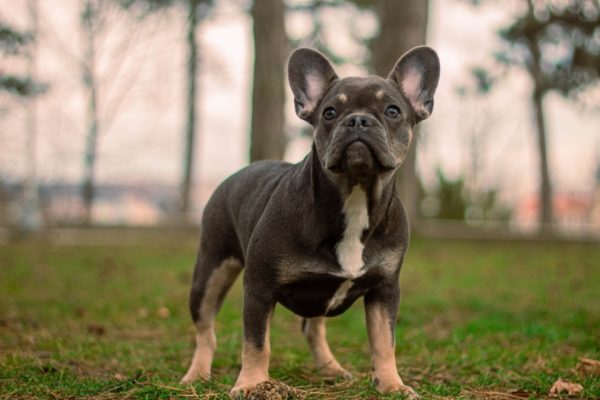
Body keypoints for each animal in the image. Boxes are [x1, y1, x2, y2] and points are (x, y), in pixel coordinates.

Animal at [180, 45, 438, 398]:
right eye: (329, 113)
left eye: (392, 111)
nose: (358, 120)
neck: (355, 195)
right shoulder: (259, 287)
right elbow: (256, 341)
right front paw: (253, 383)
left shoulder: (384, 289)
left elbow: (385, 340)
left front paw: (391, 384)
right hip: (211, 270)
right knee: (205, 329)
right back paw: (196, 374)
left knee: (312, 326)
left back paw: (330, 369)